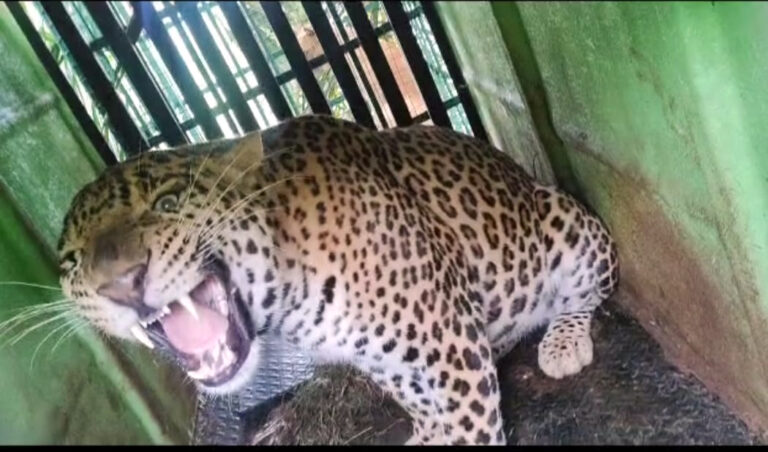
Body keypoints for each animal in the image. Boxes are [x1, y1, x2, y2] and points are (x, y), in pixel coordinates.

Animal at [57, 115, 619, 445]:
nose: (122, 283)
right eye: (70, 263)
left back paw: (563, 342)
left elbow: (470, 424)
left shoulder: (449, 341)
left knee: (590, 291)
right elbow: (413, 396)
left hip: (567, 223)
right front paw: (429, 431)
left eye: (169, 204)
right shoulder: (385, 354)